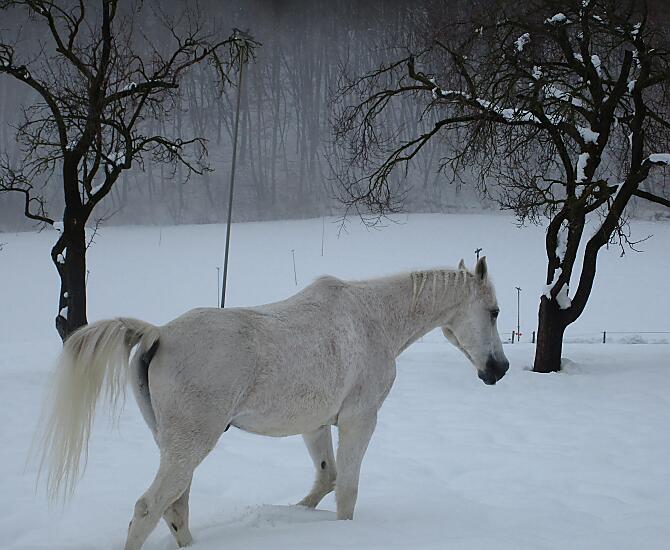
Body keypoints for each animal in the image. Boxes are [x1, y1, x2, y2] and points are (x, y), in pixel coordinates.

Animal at [36, 256, 509, 550]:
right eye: (495, 312)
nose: (498, 369)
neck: (371, 319)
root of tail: (159, 333)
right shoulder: (359, 420)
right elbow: (347, 490)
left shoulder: (316, 425)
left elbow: (326, 479)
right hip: (190, 446)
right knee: (149, 508)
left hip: (174, 447)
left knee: (176, 508)